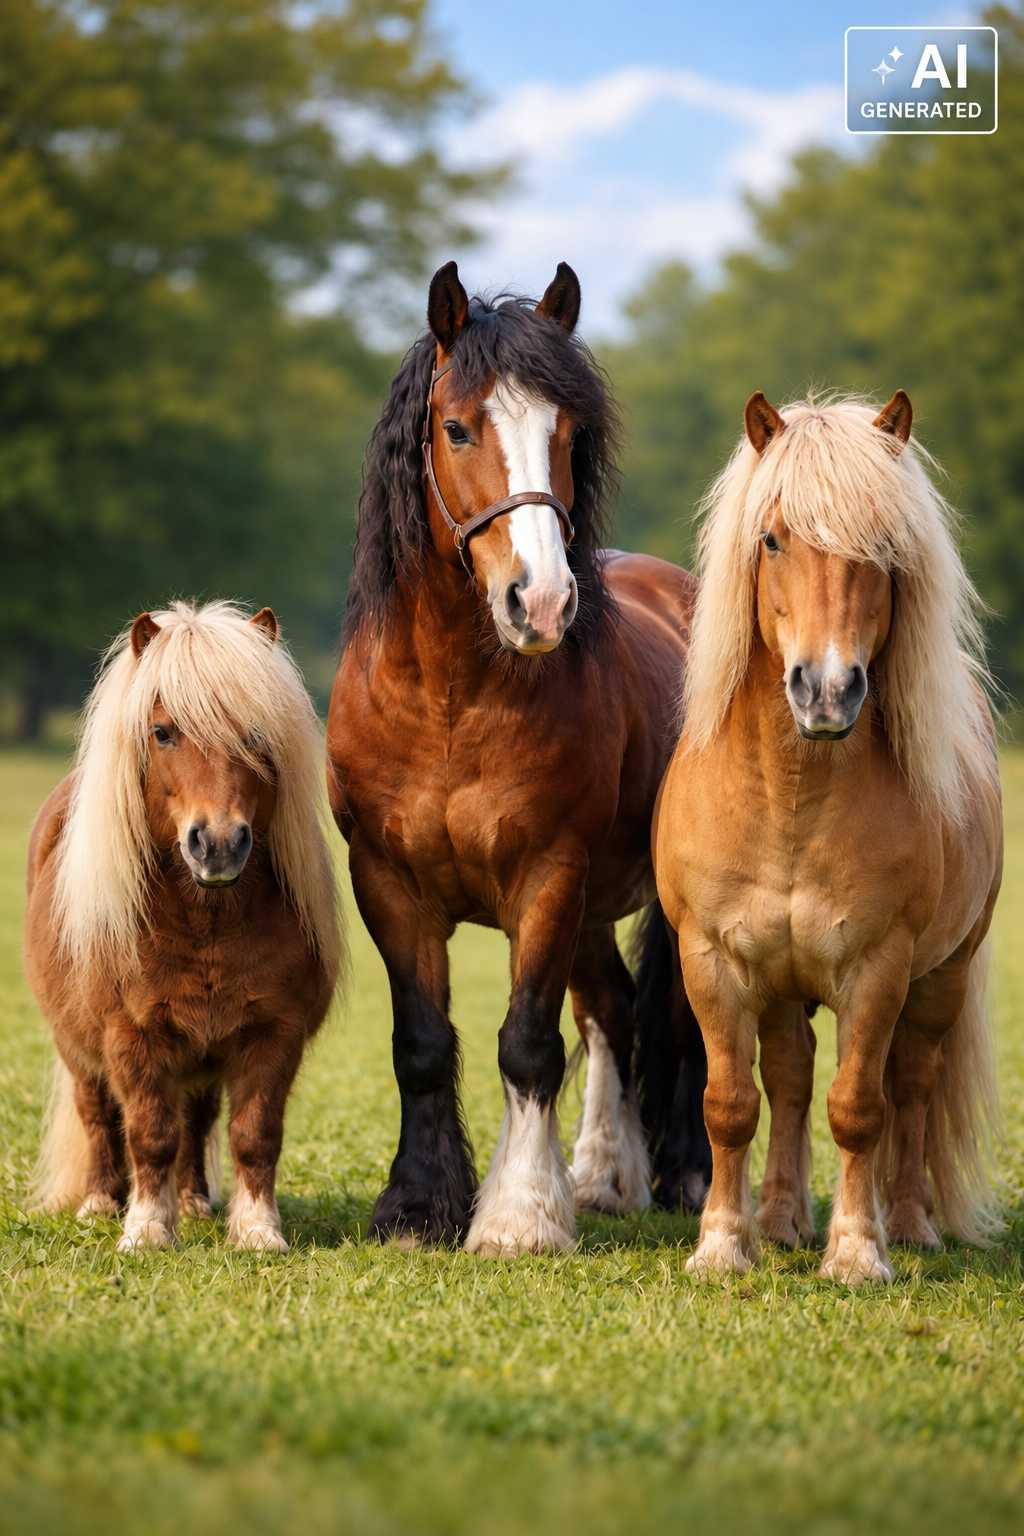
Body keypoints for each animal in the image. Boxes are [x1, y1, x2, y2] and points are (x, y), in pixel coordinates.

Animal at [26, 600, 341, 1252]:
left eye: (256, 734)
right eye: (163, 731)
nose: (217, 844)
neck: (206, 924)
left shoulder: (272, 1034)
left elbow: (254, 1134)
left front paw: (256, 1230)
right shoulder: (131, 1037)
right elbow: (148, 1133)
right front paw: (146, 1229)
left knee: (197, 1123)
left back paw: (194, 1202)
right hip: (77, 1047)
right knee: (97, 1116)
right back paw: (99, 1203)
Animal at [326, 260, 710, 1255]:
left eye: (567, 434)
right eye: (457, 427)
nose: (539, 601)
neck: (451, 702)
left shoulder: (548, 875)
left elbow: (527, 1041)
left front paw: (521, 1215)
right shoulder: (386, 881)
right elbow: (422, 1044)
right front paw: (419, 1206)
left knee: (680, 1018)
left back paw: (687, 1173)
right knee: (613, 1010)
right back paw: (607, 1175)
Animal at [650, 389, 1003, 1284]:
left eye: (883, 547)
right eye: (773, 538)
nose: (827, 690)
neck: (791, 801)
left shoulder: (877, 970)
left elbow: (859, 1108)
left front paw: (855, 1252)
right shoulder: (715, 963)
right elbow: (732, 1104)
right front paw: (722, 1245)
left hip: (940, 978)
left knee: (911, 1088)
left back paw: (907, 1225)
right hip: (783, 987)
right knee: (789, 1078)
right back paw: (778, 1222)